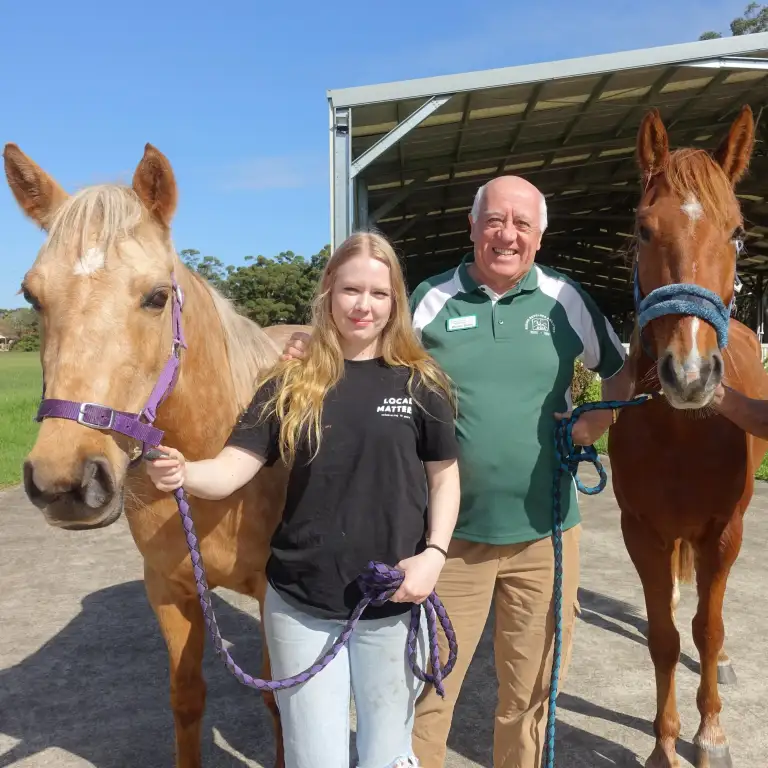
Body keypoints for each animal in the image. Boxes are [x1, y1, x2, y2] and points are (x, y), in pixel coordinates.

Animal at [3, 141, 308, 764]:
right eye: (32, 296)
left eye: (156, 297)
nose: (66, 483)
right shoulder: (168, 590)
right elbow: (186, 698)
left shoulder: (276, 598)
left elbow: (277, 702)